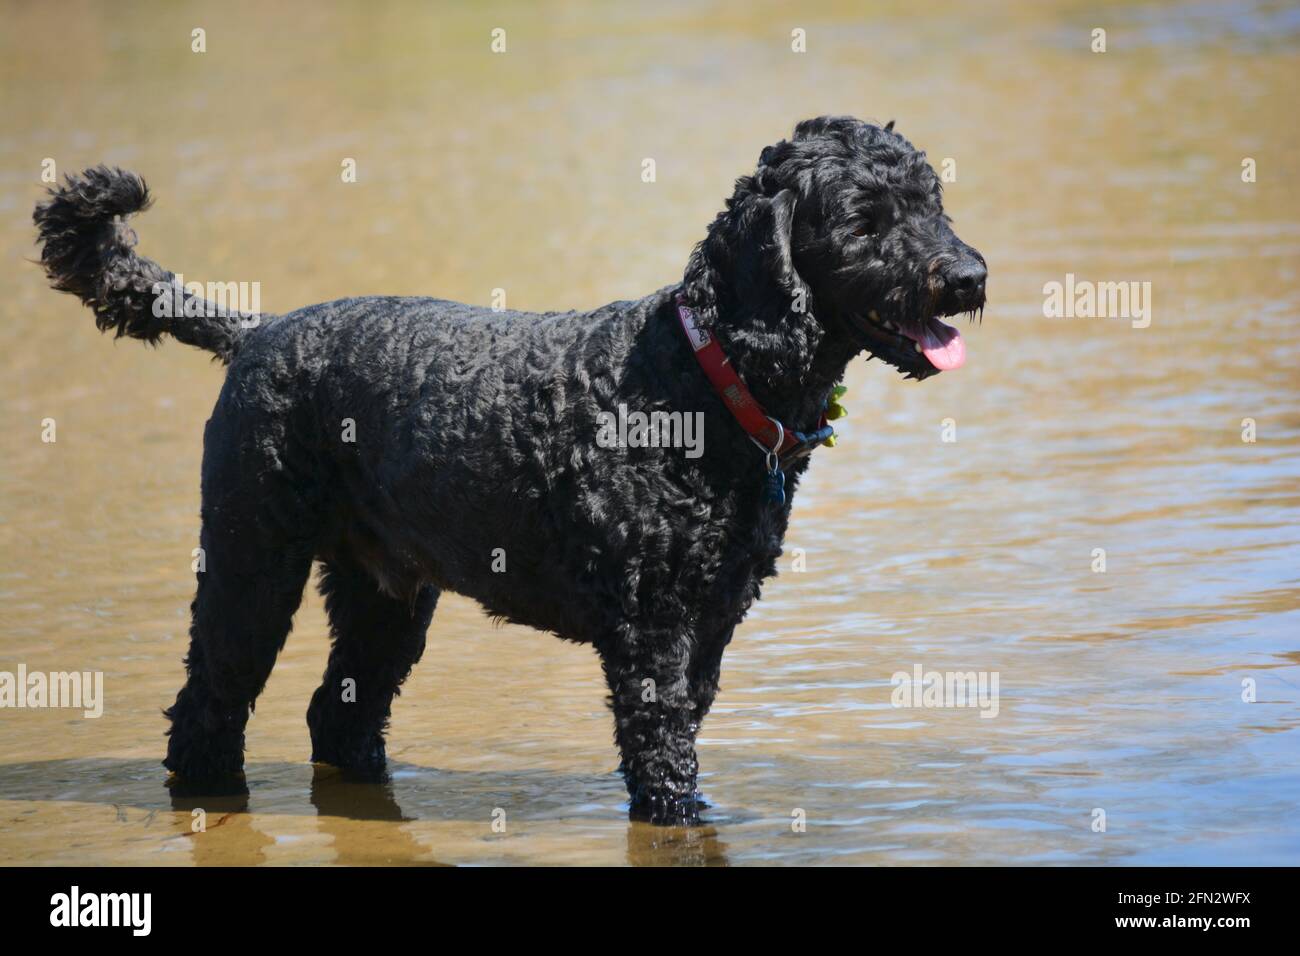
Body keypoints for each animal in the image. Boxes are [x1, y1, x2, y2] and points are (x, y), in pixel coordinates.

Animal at [32, 115, 982, 827]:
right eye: (864, 217)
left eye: (932, 202)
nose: (971, 275)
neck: (698, 378)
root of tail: (255, 333)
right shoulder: (651, 636)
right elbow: (664, 763)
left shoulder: (707, 632)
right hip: (251, 567)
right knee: (207, 711)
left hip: (385, 599)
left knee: (337, 718)